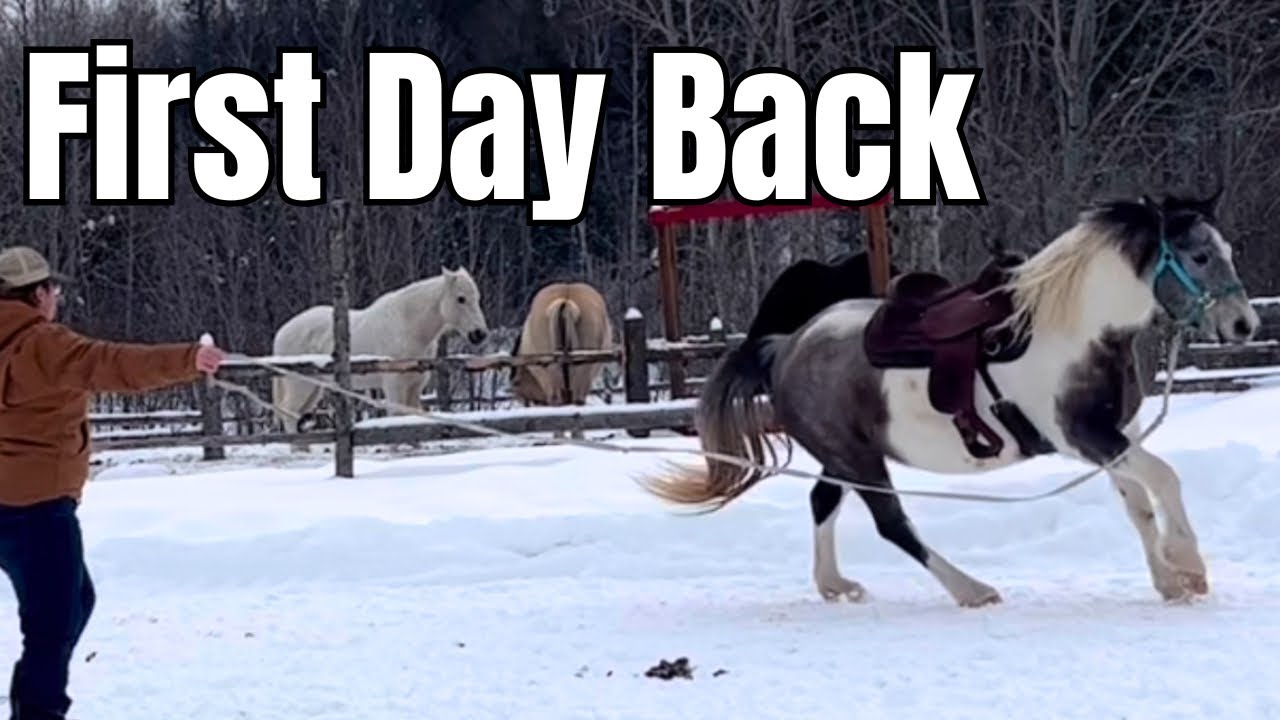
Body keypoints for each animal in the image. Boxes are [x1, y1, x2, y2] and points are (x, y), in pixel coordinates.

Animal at [271, 266, 490, 434]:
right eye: (461, 299)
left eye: (477, 298)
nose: (479, 334)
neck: (408, 326)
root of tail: (281, 333)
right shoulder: (394, 386)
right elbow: (397, 418)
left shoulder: (415, 386)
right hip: (300, 384)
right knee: (289, 413)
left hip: (314, 387)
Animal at [509, 282, 614, 437]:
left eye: (518, 385)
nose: (527, 402)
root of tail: (565, 300)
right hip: (581, 373)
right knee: (575, 403)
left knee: (559, 403)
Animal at [638, 193, 1258, 607]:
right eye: (1200, 257)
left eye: (1226, 250)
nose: (1244, 325)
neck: (1076, 329)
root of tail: (784, 346)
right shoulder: (1084, 436)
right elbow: (1165, 479)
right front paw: (1189, 564)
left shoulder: (1108, 438)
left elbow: (1138, 502)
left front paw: (1170, 581)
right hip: (858, 458)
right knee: (893, 525)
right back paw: (971, 589)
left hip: (845, 456)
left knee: (822, 502)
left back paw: (836, 585)